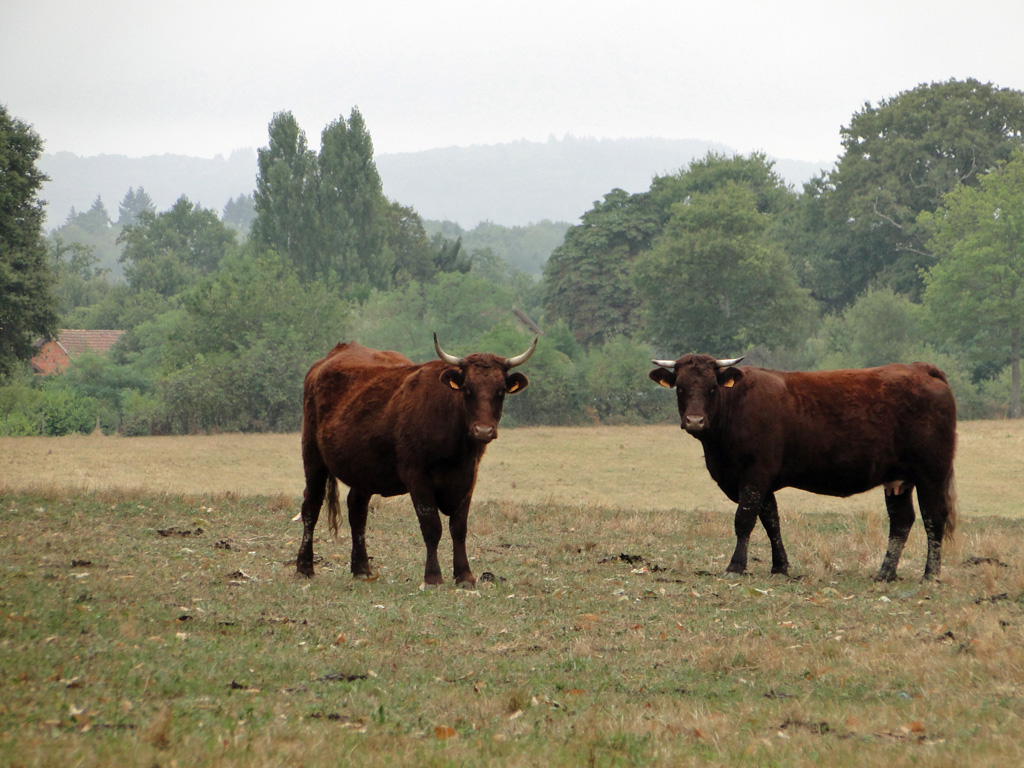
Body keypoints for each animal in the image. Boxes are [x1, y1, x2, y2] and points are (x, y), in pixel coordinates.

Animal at [294, 333, 536, 585]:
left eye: (501, 390)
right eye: (467, 389)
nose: (483, 430)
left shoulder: (469, 477)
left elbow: (459, 528)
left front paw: (464, 576)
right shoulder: (418, 477)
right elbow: (432, 527)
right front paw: (433, 577)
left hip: (364, 469)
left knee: (357, 510)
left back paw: (361, 568)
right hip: (312, 456)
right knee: (311, 506)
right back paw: (304, 567)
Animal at [651, 354, 954, 581]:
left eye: (712, 387)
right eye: (680, 387)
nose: (694, 421)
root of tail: (920, 368)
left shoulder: (755, 473)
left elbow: (745, 519)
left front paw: (736, 566)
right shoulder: (760, 480)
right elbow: (771, 520)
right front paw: (780, 567)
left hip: (932, 473)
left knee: (934, 517)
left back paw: (930, 575)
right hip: (898, 480)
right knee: (902, 521)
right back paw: (885, 574)